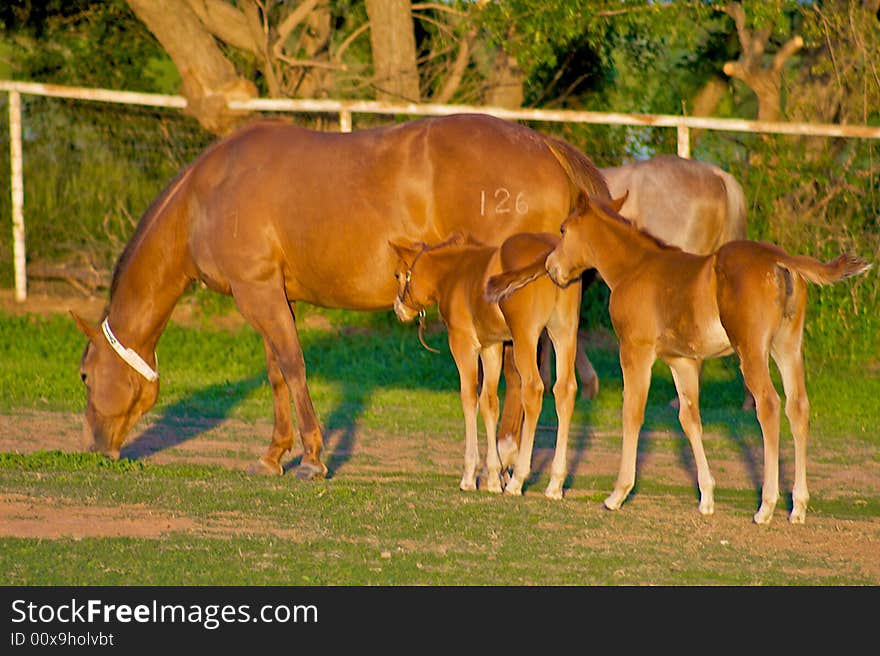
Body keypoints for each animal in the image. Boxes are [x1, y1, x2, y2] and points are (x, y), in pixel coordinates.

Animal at [388, 232, 580, 498]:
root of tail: (551, 251)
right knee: (565, 390)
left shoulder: (464, 344)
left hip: (526, 337)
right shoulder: (492, 346)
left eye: (398, 275)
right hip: (564, 333)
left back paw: (518, 479)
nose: (399, 308)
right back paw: (555, 483)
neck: (456, 273)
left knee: (533, 389)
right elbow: (490, 402)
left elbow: (469, 398)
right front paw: (493, 478)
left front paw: (470, 476)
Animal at [492, 190, 868, 524]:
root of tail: (780, 259)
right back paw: (798, 506)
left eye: (563, 230)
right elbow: (689, 420)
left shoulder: (635, 351)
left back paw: (766, 506)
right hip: (787, 348)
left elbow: (632, 413)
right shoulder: (681, 361)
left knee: (769, 405)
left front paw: (618, 493)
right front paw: (707, 497)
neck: (635, 267)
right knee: (798, 407)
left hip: (752, 350)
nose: (551, 268)